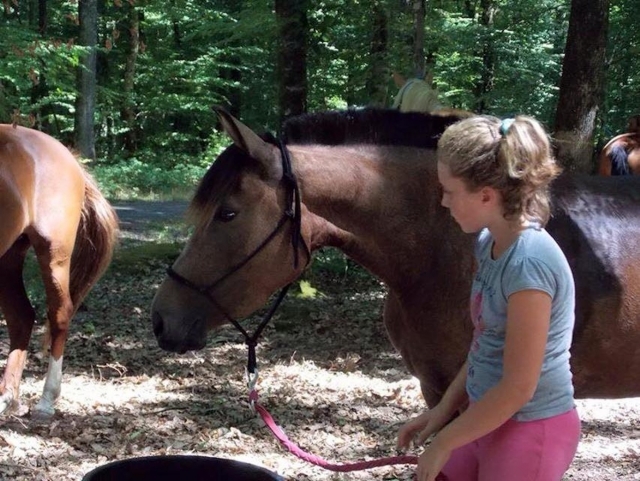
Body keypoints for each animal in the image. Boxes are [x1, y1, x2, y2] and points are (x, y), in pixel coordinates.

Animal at [0, 125, 119, 418]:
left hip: (55, 254)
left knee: (59, 314)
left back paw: (46, 400)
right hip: (8, 258)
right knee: (21, 317)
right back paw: (7, 397)